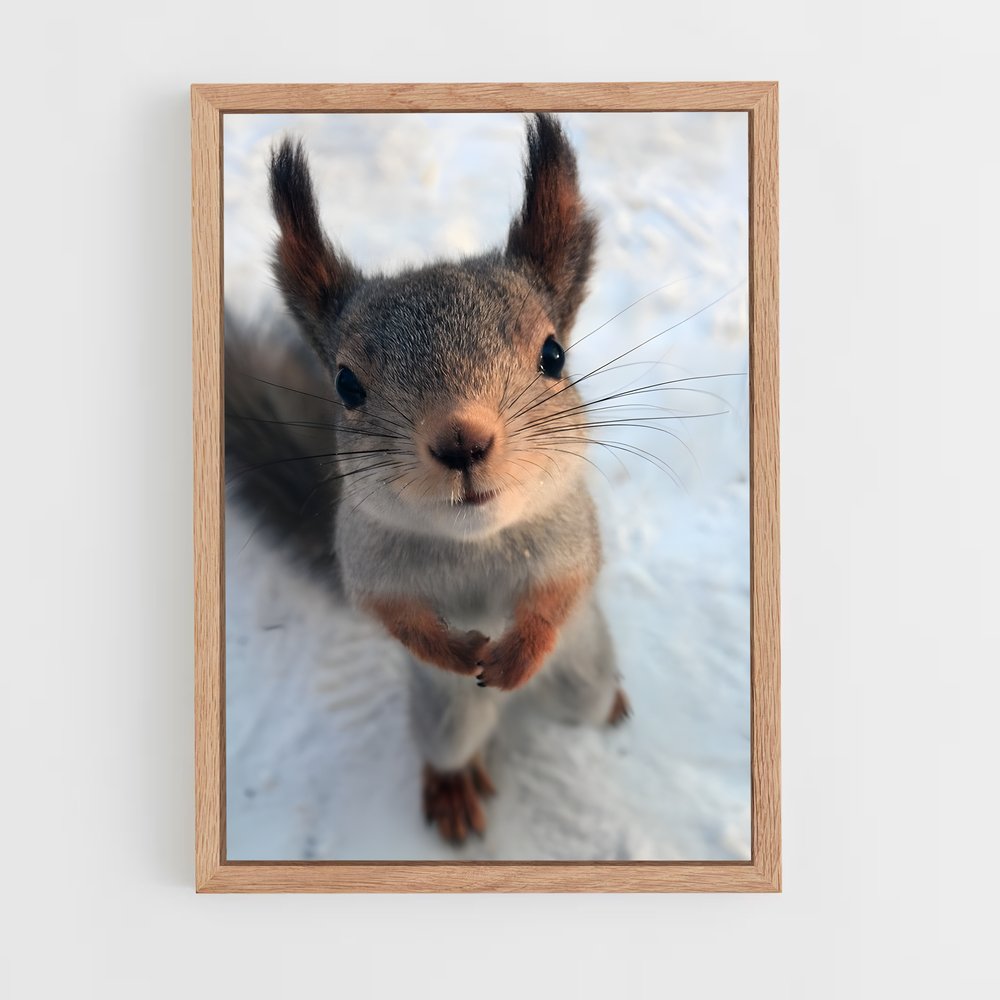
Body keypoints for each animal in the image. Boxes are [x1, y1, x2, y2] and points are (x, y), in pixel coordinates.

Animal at [225, 113, 630, 844]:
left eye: (554, 355)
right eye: (346, 385)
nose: (461, 441)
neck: (474, 541)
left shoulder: (571, 532)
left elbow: (563, 588)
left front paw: (518, 650)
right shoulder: (364, 557)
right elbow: (390, 613)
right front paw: (457, 653)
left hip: (583, 674)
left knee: (585, 698)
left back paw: (604, 700)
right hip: (445, 720)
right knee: (449, 747)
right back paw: (453, 788)